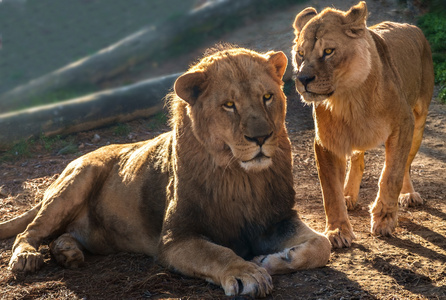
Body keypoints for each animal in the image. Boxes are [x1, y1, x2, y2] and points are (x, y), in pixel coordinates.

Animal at [0, 46, 332, 298]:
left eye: (267, 97)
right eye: (229, 105)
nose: (262, 137)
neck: (239, 178)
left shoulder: (278, 220)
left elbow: (322, 244)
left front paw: (271, 260)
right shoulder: (175, 238)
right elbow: (218, 253)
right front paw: (247, 273)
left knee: (62, 235)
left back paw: (67, 252)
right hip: (79, 178)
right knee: (30, 232)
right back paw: (27, 257)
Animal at [290, 0, 434, 248]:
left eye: (328, 51)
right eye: (300, 54)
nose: (303, 79)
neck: (349, 98)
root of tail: (411, 26)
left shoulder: (403, 124)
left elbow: (392, 174)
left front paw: (384, 218)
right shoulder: (326, 141)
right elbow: (330, 191)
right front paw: (338, 230)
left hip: (419, 120)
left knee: (406, 164)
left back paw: (408, 195)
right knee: (358, 160)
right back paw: (349, 195)